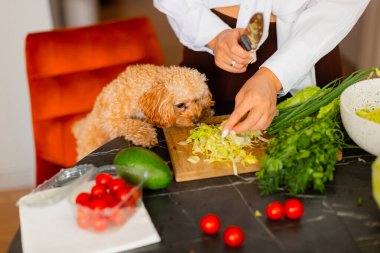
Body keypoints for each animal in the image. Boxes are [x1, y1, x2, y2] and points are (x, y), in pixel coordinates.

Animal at [71, 64, 214, 161]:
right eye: (180, 105)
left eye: (197, 100)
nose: (196, 120)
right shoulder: (111, 119)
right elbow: (131, 124)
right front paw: (146, 135)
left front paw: (207, 112)